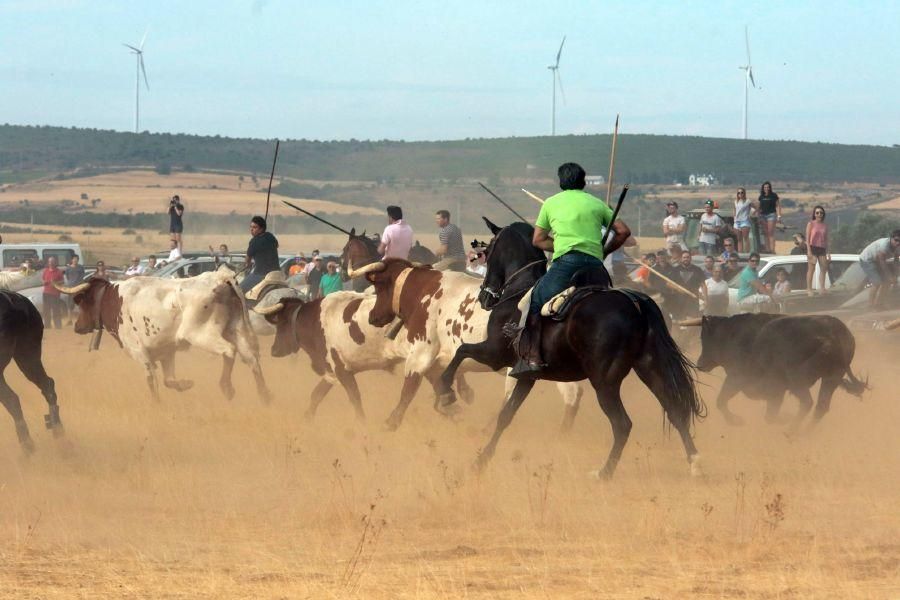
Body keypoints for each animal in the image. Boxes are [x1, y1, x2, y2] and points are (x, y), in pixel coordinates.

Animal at [53, 272, 268, 404]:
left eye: (81, 302)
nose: (77, 326)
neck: (113, 299)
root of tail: (220, 278)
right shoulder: (166, 353)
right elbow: (169, 381)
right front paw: (185, 384)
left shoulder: (141, 355)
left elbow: (152, 383)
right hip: (236, 330)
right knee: (252, 360)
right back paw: (265, 396)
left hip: (201, 334)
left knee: (228, 350)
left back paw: (227, 387)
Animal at [440, 219, 708, 478]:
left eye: (489, 250)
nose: (484, 297)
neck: (518, 294)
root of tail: (636, 304)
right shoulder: (526, 375)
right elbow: (507, 414)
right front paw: (481, 460)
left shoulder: (495, 353)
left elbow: (461, 352)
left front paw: (448, 393)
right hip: (650, 368)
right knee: (675, 411)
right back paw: (695, 464)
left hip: (605, 382)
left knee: (623, 424)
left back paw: (604, 472)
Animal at [684, 312, 868, 428]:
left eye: (704, 338)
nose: (700, 363)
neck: (732, 335)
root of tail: (832, 333)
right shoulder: (775, 389)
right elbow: (770, 412)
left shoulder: (738, 378)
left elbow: (721, 401)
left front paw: (735, 421)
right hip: (831, 378)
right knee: (821, 406)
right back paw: (804, 432)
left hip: (797, 380)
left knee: (807, 403)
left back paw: (792, 430)